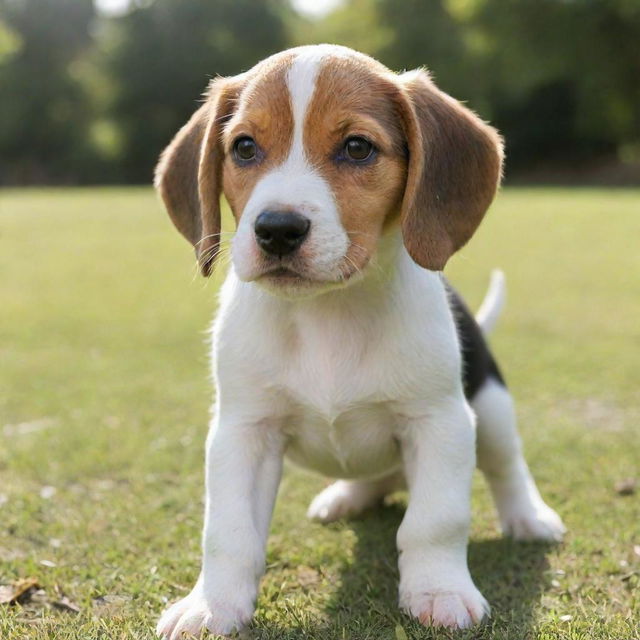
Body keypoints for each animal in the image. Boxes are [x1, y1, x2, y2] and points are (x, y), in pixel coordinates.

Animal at [155, 43, 564, 636]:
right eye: (245, 147)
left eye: (356, 148)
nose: (277, 229)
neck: (329, 312)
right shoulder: (243, 431)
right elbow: (227, 533)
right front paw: (211, 606)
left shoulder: (440, 423)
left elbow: (435, 521)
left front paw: (439, 591)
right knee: (375, 475)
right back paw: (347, 496)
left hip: (489, 410)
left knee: (507, 467)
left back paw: (528, 517)